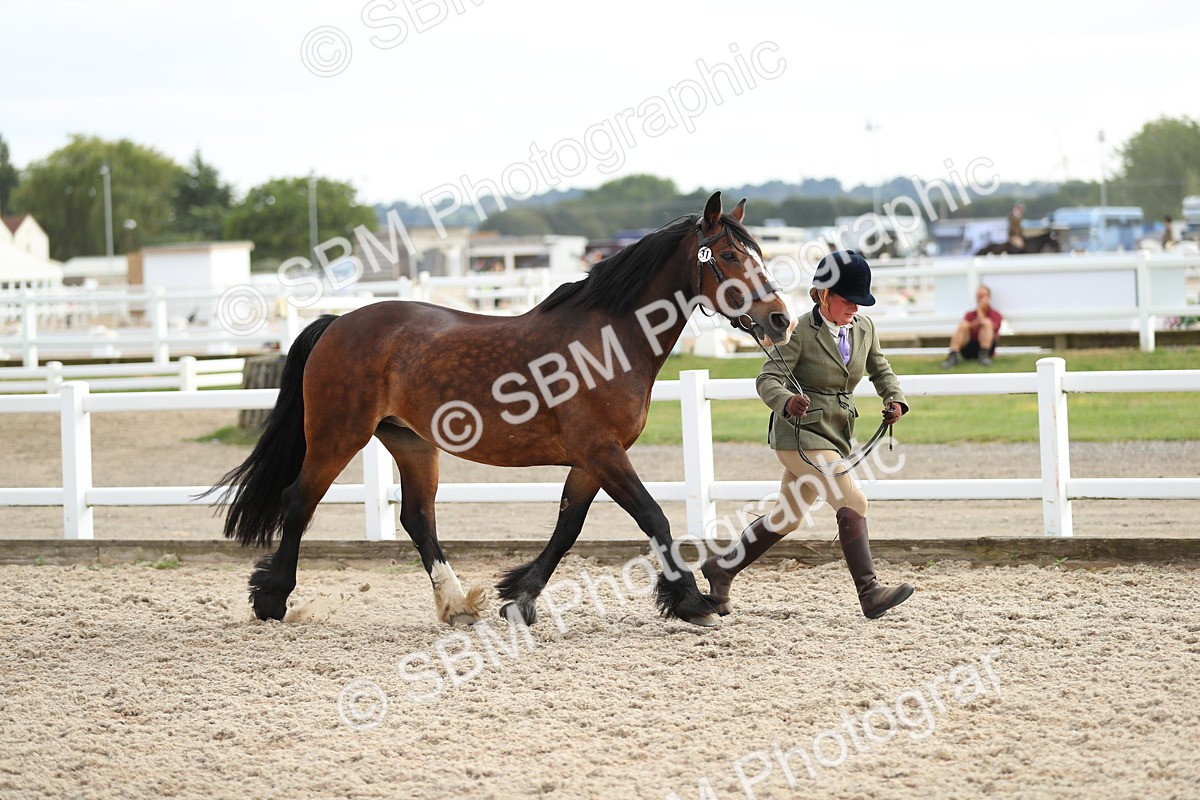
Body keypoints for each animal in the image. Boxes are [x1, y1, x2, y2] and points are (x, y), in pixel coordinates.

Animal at [206, 192, 795, 629]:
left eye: (759, 254)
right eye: (729, 257)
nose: (780, 319)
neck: (609, 340)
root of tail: (337, 323)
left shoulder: (591, 460)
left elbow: (568, 526)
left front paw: (520, 597)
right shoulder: (601, 451)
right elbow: (653, 517)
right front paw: (693, 601)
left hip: (411, 441)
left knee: (417, 517)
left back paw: (456, 604)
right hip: (337, 435)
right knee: (299, 500)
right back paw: (273, 599)